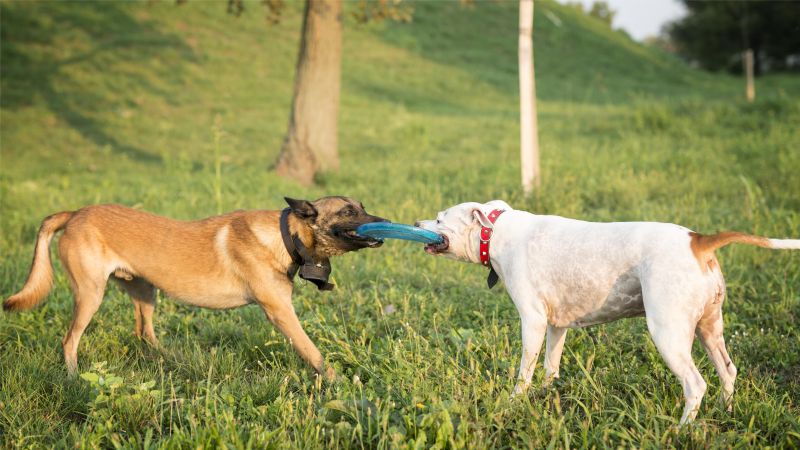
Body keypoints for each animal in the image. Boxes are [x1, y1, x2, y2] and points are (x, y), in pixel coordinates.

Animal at [2, 198, 384, 380]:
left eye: (363, 206)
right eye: (348, 211)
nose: (384, 221)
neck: (285, 234)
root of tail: (76, 213)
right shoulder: (281, 313)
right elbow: (313, 352)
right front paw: (339, 381)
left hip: (146, 293)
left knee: (145, 333)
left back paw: (173, 359)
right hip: (90, 295)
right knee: (70, 341)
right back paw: (74, 379)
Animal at [422, 201, 796, 426]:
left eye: (439, 218)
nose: (416, 221)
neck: (496, 231)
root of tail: (698, 241)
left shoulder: (533, 322)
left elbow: (524, 370)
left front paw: (515, 401)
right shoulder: (556, 325)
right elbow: (550, 366)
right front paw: (546, 394)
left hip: (668, 333)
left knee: (695, 383)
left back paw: (681, 430)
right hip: (709, 328)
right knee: (728, 371)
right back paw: (725, 411)